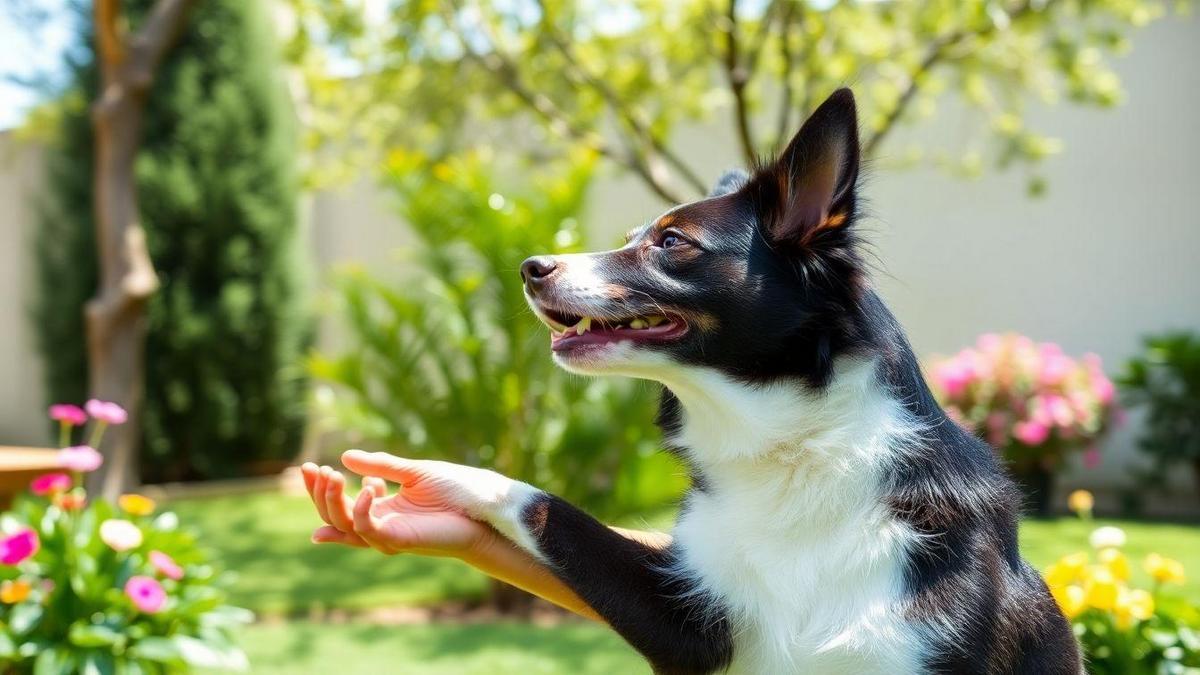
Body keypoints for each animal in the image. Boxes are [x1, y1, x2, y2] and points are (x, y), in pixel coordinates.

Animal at [417, 89, 1084, 672]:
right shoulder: (690, 626)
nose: (530, 267)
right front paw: (440, 475)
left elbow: (548, 511)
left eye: (670, 241)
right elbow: (549, 510)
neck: (793, 452)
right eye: (632, 237)